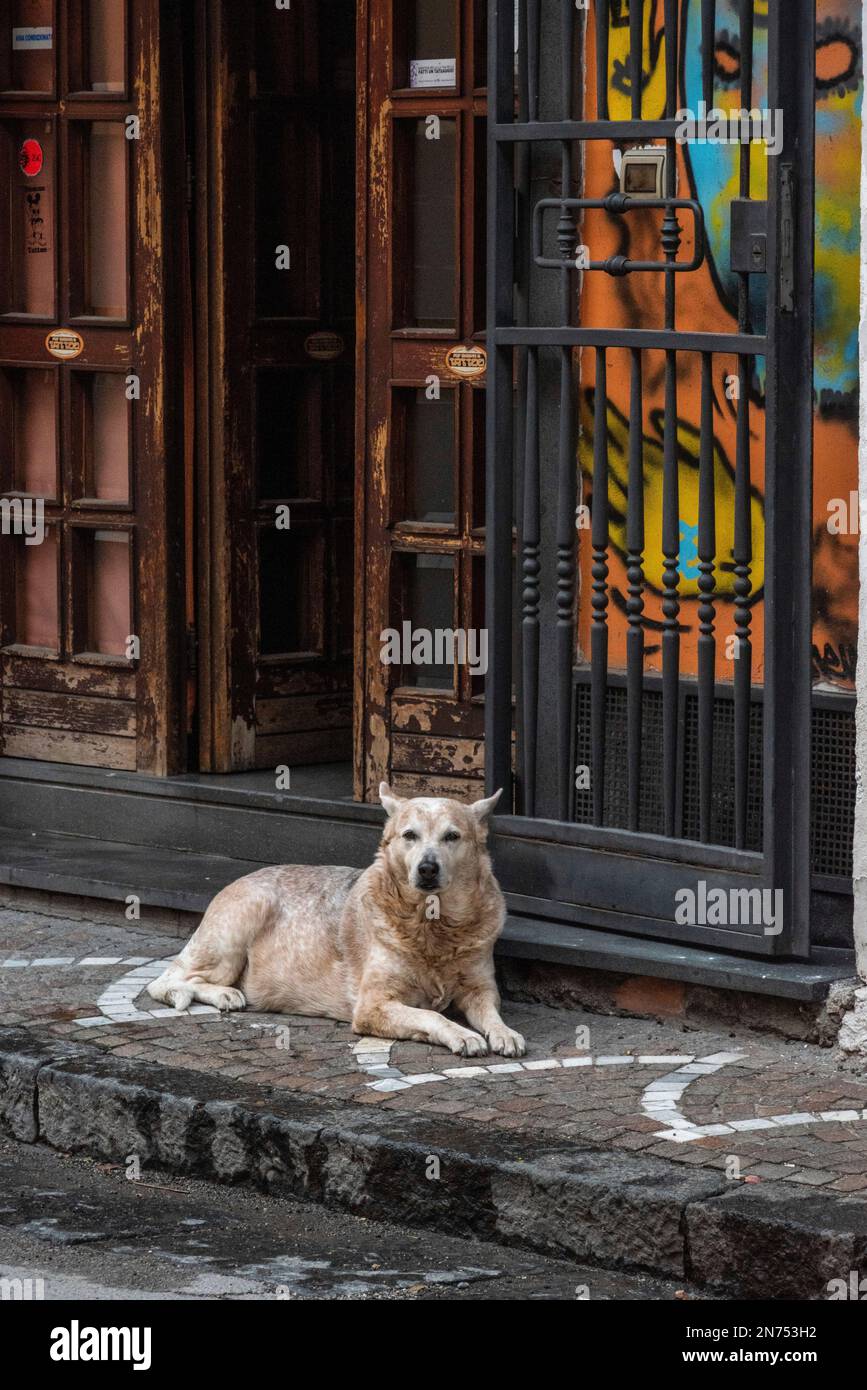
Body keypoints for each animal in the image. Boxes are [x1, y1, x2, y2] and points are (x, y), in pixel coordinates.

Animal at [147, 778, 525, 1056]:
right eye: (410, 835)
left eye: (452, 836)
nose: (427, 868)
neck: (433, 926)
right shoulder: (373, 1005)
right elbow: (432, 1015)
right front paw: (462, 1034)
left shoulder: (480, 989)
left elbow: (491, 1013)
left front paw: (504, 1032)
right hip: (240, 924)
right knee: (166, 981)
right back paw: (222, 994)